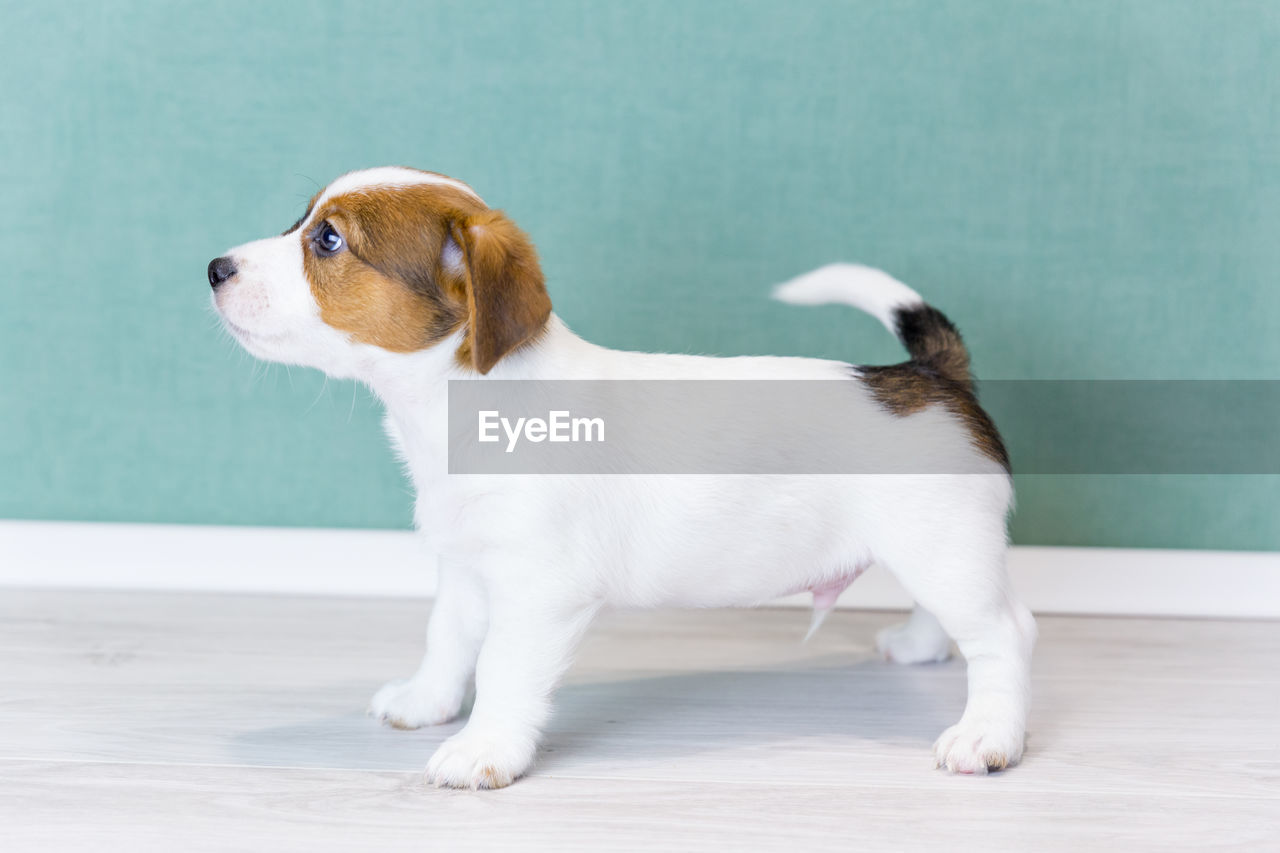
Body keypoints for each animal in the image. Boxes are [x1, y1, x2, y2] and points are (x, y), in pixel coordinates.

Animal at [207, 167, 1029, 788]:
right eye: (302, 221)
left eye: (329, 240)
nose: (214, 268)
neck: (458, 403)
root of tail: (931, 375)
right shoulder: (467, 567)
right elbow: (447, 638)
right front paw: (427, 700)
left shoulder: (539, 592)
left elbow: (502, 669)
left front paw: (483, 749)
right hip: (931, 553)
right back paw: (921, 646)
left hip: (943, 550)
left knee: (1005, 635)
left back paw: (989, 735)